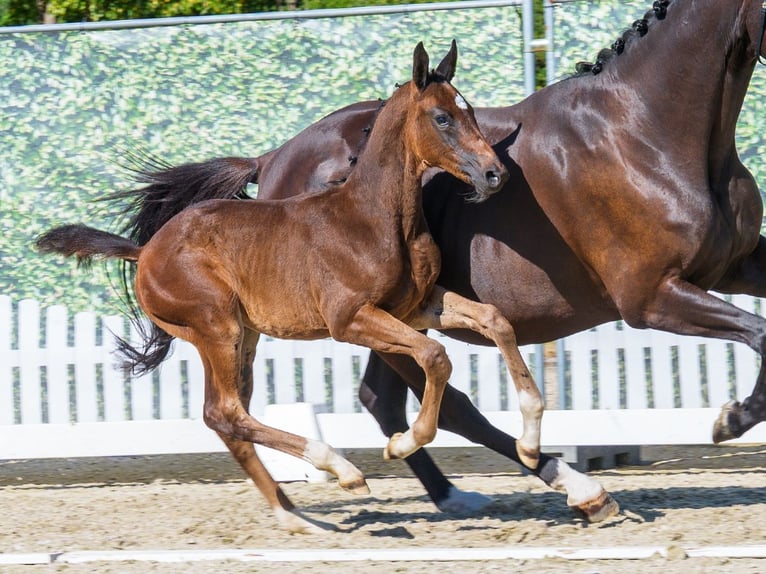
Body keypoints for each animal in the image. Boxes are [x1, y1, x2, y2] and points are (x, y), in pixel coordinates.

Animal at [36, 41, 592, 533]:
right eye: (442, 118)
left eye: (471, 111)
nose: (496, 174)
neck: (374, 218)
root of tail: (145, 251)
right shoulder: (351, 320)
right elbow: (435, 358)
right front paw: (401, 443)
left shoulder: (416, 307)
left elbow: (495, 320)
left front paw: (529, 441)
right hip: (216, 328)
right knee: (225, 412)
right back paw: (339, 471)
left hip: (243, 337)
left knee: (230, 418)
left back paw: (295, 515)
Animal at [97, 0, 766, 517]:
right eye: (444, 117)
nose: (492, 176)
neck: (646, 127)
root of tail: (273, 159)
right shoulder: (651, 296)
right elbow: (759, 332)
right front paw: (731, 419)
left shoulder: (732, 267)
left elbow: (759, 326)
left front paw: (733, 416)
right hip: (345, 322)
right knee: (434, 399)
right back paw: (570, 487)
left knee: (382, 398)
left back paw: (458, 489)